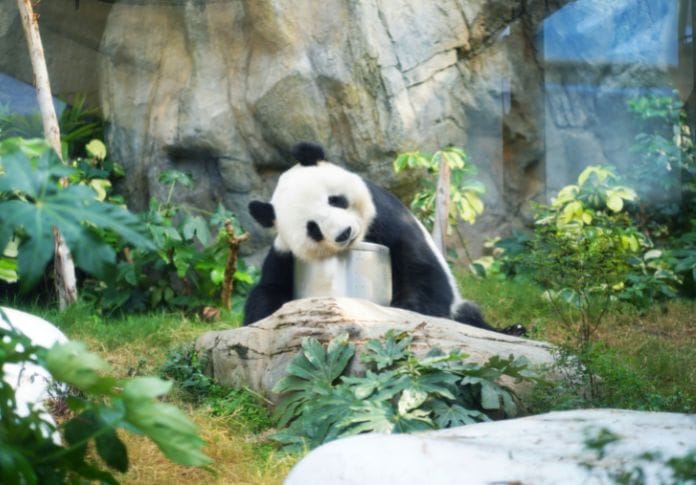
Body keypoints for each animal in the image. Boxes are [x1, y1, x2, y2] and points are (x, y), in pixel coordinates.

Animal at [243, 142, 513, 334]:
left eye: (335, 200)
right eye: (313, 228)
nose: (344, 233)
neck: (364, 236)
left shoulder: (388, 218)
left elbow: (423, 271)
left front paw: (404, 310)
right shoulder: (284, 252)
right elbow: (267, 290)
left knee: (469, 314)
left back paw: (512, 329)